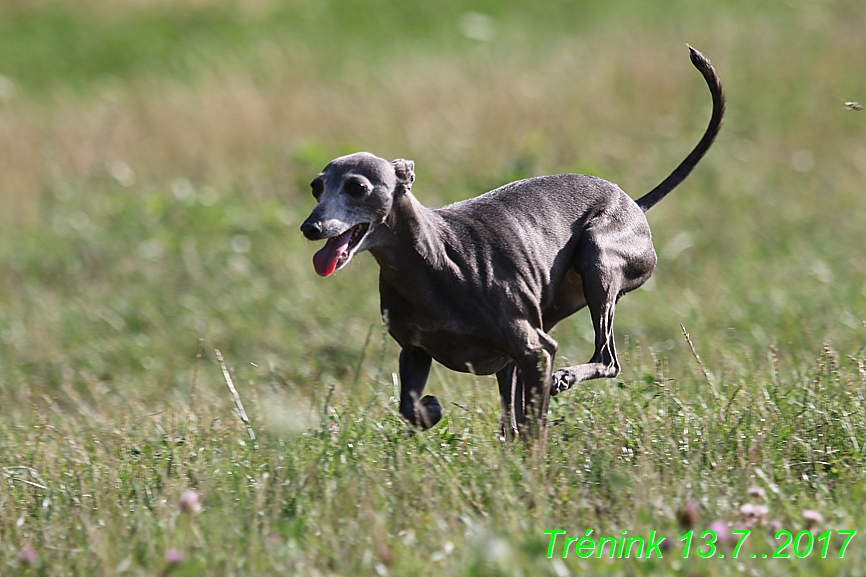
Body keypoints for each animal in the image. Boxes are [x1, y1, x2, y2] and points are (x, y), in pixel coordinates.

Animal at [298, 46, 724, 440]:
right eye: (316, 186)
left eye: (357, 187)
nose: (310, 228)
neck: (430, 260)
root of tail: (633, 203)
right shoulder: (415, 350)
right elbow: (411, 405)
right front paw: (430, 408)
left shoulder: (537, 349)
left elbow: (533, 427)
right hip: (539, 322)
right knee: (517, 408)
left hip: (598, 261)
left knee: (606, 359)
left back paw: (565, 378)